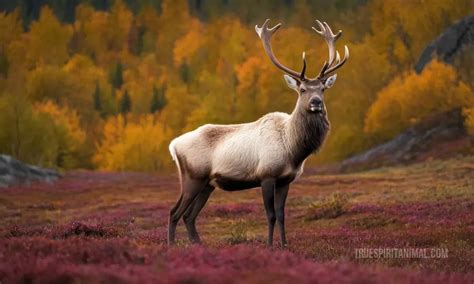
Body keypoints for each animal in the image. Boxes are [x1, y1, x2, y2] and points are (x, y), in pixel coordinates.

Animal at [168, 19, 348, 246]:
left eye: (323, 89)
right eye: (302, 90)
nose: (316, 103)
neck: (293, 150)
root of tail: (173, 145)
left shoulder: (285, 180)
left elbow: (281, 215)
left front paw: (284, 245)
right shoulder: (266, 175)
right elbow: (270, 215)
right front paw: (269, 245)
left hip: (207, 184)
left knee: (188, 216)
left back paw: (198, 245)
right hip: (192, 177)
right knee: (174, 212)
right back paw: (171, 245)